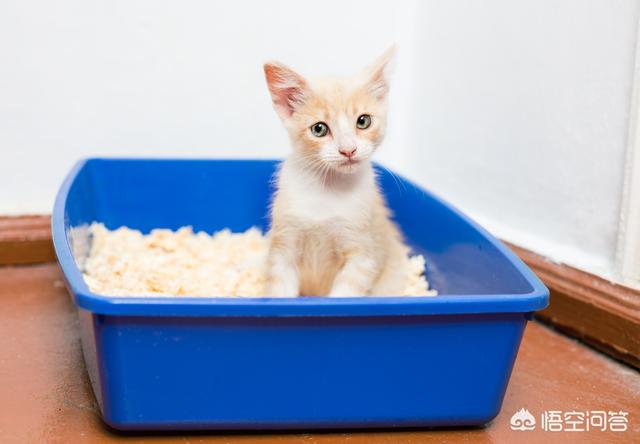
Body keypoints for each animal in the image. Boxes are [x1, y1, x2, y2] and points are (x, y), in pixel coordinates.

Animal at [263, 46, 411, 297]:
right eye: (319, 129)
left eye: (363, 121)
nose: (348, 150)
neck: (327, 189)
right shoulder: (283, 246)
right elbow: (280, 291)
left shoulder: (362, 254)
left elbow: (344, 295)